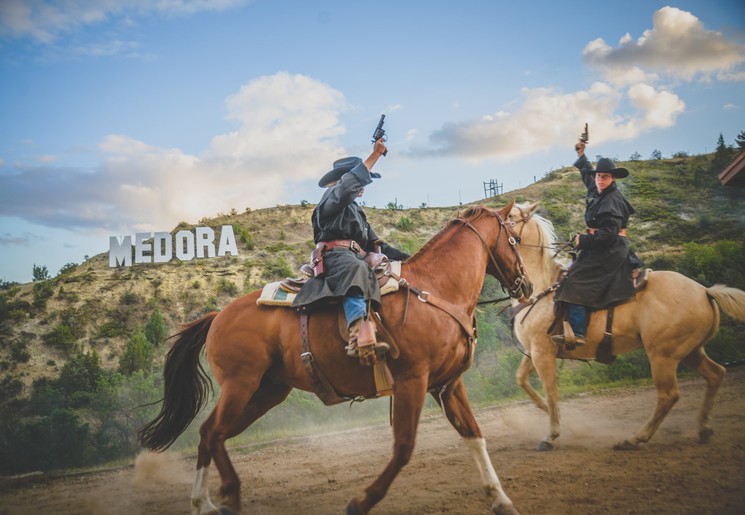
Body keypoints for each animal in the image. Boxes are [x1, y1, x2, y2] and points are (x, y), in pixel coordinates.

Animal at [138, 202, 533, 515]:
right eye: (515, 239)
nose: (526, 285)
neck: (436, 289)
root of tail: (218, 315)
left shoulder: (447, 384)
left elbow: (474, 434)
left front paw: (501, 500)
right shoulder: (413, 381)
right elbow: (404, 447)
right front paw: (360, 502)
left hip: (266, 392)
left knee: (212, 434)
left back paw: (215, 500)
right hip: (240, 385)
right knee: (212, 432)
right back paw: (217, 499)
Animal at [508, 202, 745, 451]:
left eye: (511, 215)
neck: (540, 287)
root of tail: (705, 291)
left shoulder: (543, 351)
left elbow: (551, 391)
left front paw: (551, 435)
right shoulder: (535, 351)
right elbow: (521, 378)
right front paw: (548, 412)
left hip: (663, 355)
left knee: (668, 395)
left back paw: (635, 438)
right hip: (691, 351)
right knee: (715, 374)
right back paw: (703, 429)